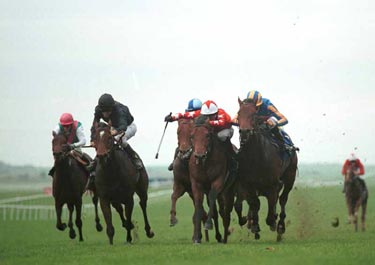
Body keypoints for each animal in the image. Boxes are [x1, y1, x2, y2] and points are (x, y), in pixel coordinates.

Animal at [191, 114, 235, 242]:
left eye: (207, 135)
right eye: (192, 136)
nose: (199, 156)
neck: (205, 164)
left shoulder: (218, 181)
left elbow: (212, 197)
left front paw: (208, 224)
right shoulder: (196, 183)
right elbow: (198, 202)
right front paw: (197, 237)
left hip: (228, 190)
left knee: (225, 212)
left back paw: (224, 237)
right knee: (218, 211)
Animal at [236, 98, 298, 240]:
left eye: (254, 115)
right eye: (239, 114)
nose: (245, 132)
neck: (256, 158)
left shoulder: (273, 184)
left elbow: (270, 211)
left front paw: (273, 222)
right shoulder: (248, 184)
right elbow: (255, 203)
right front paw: (254, 225)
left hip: (290, 177)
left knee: (283, 199)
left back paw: (280, 226)